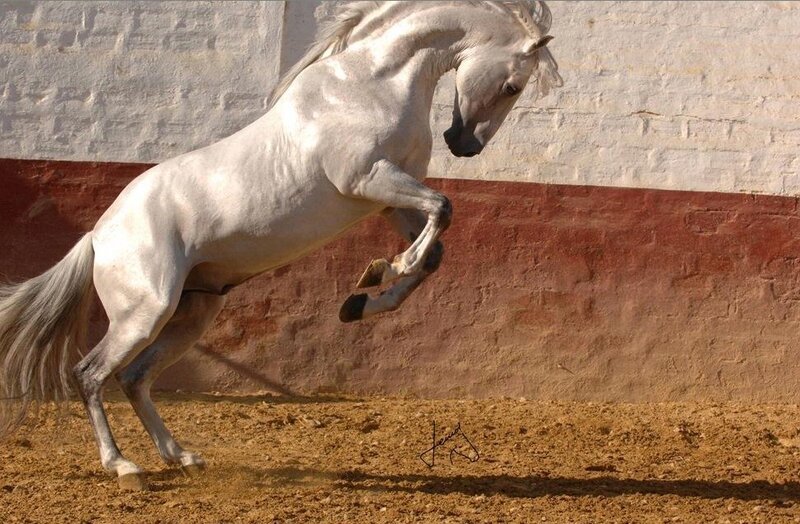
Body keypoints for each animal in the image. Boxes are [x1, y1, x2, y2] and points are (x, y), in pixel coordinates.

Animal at [0, 0, 562, 490]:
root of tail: (99, 235)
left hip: (190, 314)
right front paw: (388, 267)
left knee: (135, 378)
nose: (463, 144)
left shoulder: (386, 200)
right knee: (90, 374)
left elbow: (436, 248)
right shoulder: (369, 180)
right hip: (144, 313)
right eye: (512, 84)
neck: (371, 83)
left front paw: (361, 298)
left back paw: (183, 457)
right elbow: (442, 211)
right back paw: (123, 468)